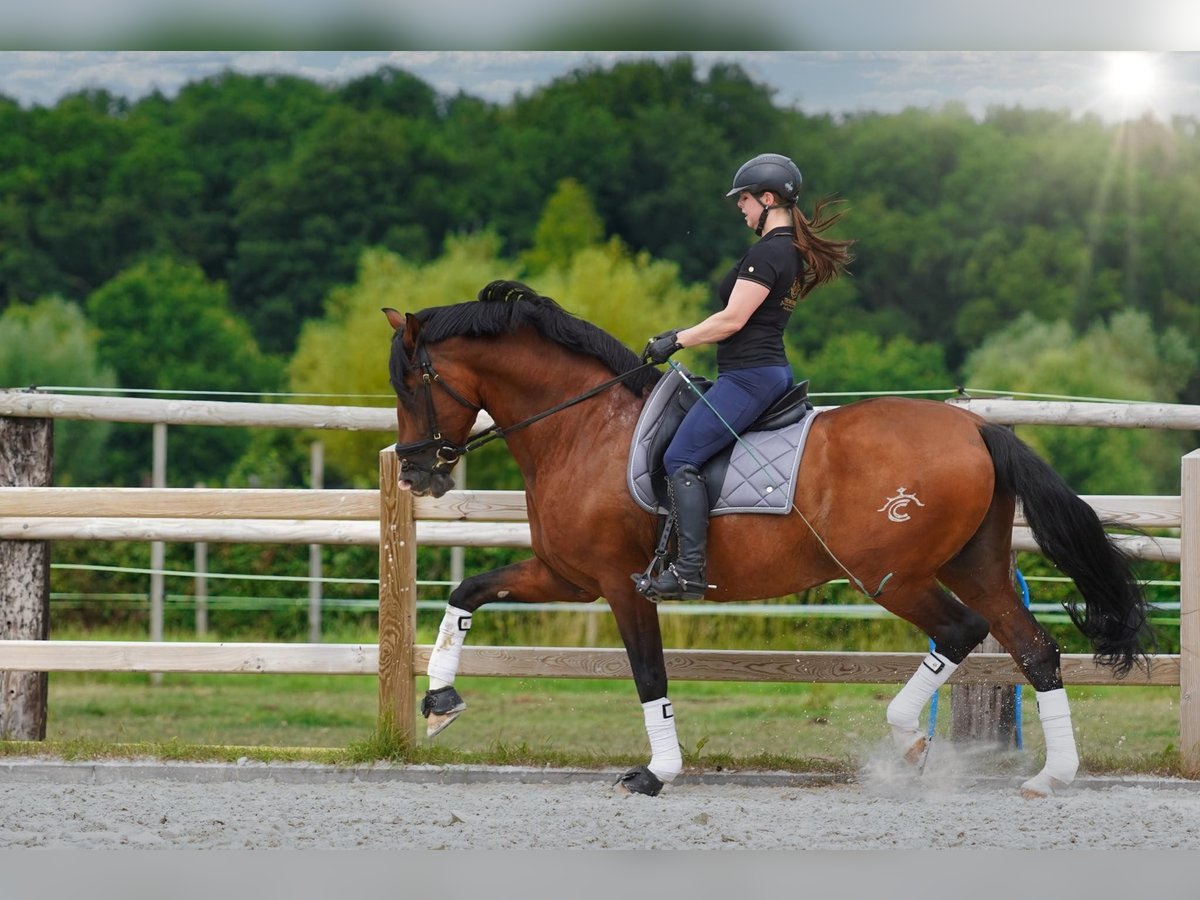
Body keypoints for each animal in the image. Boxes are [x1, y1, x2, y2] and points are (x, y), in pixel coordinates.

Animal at [384, 280, 1152, 796]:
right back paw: (1051, 775)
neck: (583, 427)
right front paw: (440, 705)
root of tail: (976, 427)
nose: (416, 471)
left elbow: (649, 674)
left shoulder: (621, 586)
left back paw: (909, 742)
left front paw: (657, 772)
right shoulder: (568, 577)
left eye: (413, 381)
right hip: (976, 564)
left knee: (961, 631)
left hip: (891, 574)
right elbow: (467, 591)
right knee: (1034, 647)